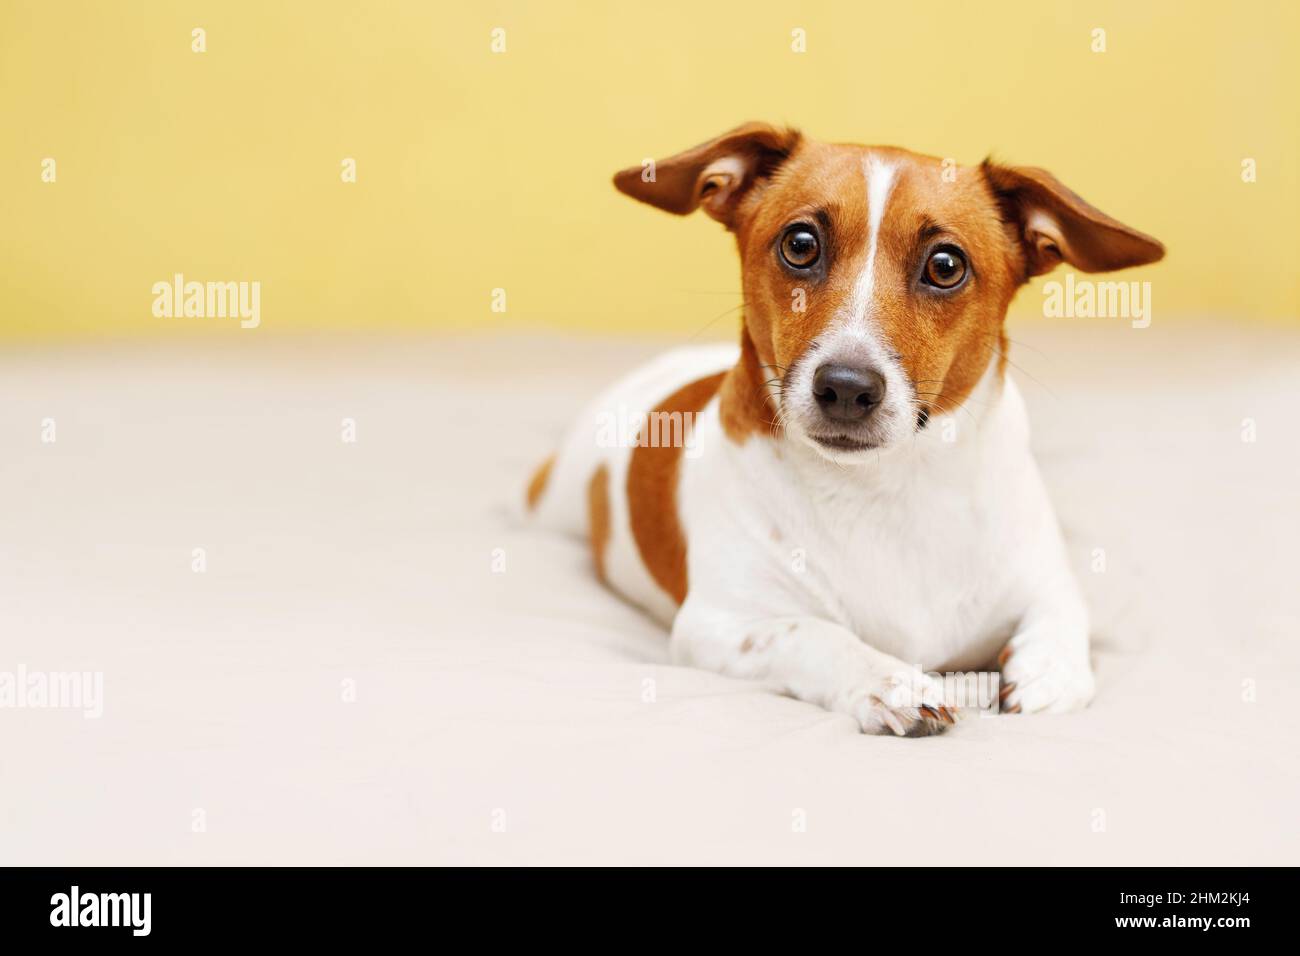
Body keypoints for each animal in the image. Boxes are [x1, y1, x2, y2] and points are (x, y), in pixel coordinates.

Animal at [522, 123, 1164, 738]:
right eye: (800, 244)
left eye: (946, 265)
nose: (847, 387)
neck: (886, 487)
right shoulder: (721, 626)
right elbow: (813, 634)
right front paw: (890, 682)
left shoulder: (1043, 580)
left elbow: (1062, 618)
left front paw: (1046, 673)